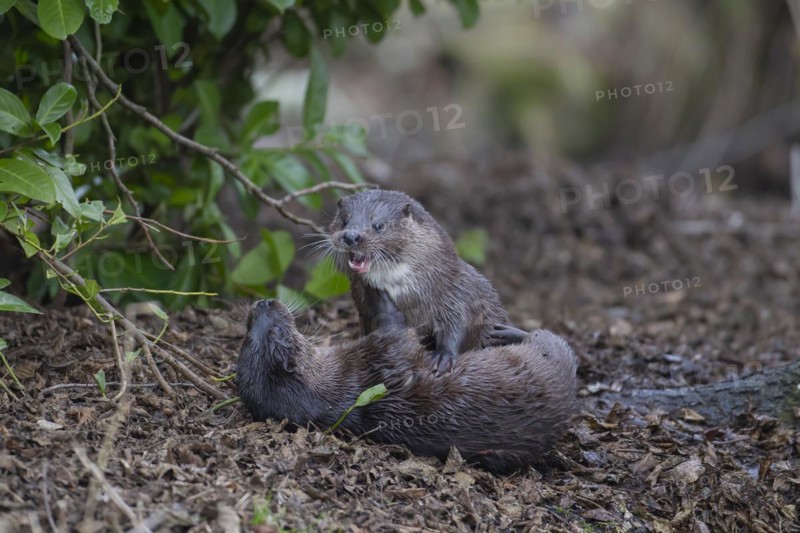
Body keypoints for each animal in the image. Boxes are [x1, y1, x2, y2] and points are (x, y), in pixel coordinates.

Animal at [235, 296, 578, 475]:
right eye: (277, 331)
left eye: (247, 333)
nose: (263, 302)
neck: (337, 381)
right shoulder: (384, 350)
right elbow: (403, 334)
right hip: (548, 355)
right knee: (547, 338)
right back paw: (509, 334)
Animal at [328, 190, 521, 374]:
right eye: (344, 222)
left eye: (378, 226)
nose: (351, 236)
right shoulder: (363, 311)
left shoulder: (458, 294)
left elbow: (460, 325)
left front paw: (443, 356)